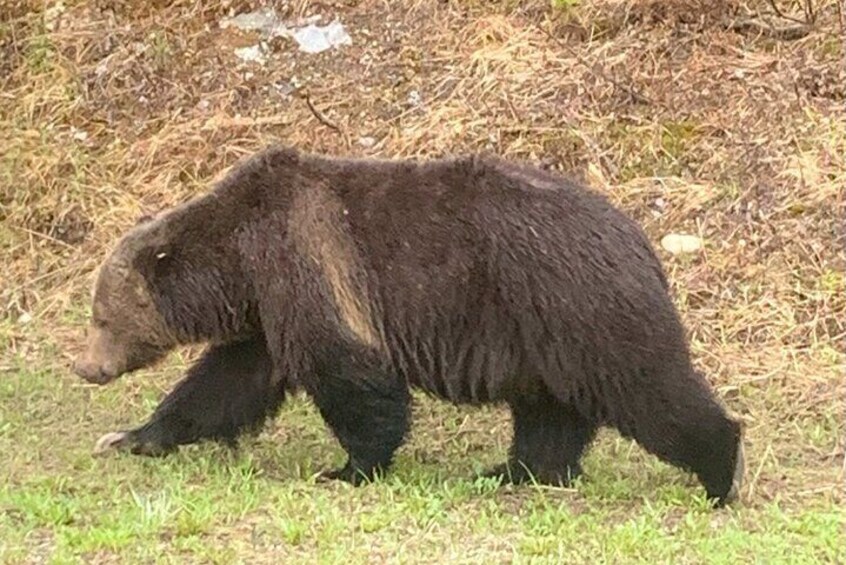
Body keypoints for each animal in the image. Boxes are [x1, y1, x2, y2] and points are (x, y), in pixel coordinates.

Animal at [76, 143, 744, 504]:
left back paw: (719, 469)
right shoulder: (268, 314)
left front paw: (348, 468)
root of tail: (640, 240)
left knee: (648, 387)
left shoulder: (310, 265)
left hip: (577, 305)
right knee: (549, 413)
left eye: (101, 315)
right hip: (542, 335)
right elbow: (226, 384)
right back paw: (513, 470)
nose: (86, 366)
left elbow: (350, 378)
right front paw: (134, 436)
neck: (237, 261)